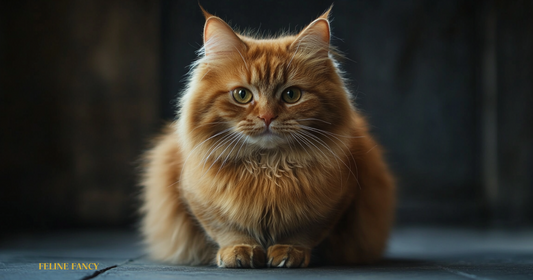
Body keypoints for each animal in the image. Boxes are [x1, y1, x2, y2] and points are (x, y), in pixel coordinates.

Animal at [141, 6, 394, 268]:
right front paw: (239, 250)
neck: (267, 166)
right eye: (242, 95)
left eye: (291, 95)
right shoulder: (195, 196)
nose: (267, 116)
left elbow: (304, 231)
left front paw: (289, 250)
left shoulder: (338, 200)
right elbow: (226, 228)